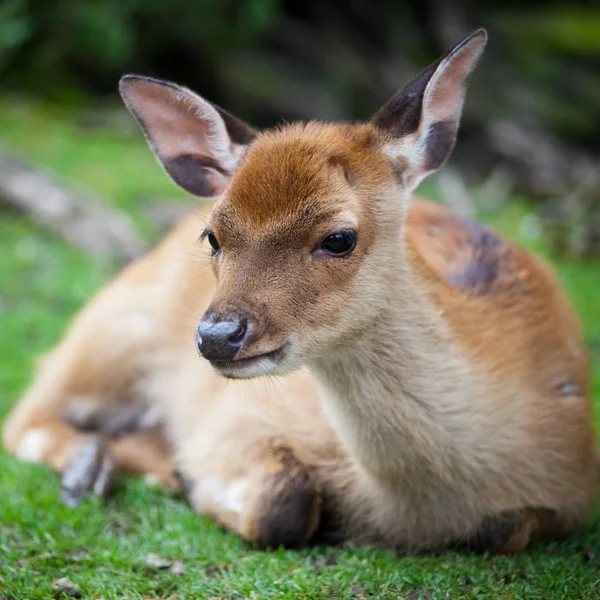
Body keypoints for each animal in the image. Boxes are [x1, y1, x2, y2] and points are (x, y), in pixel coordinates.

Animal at [3, 28, 596, 552]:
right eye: (213, 235)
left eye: (339, 238)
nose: (218, 335)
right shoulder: (237, 419)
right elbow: (281, 505)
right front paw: (186, 476)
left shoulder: (570, 495)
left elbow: (510, 528)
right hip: (110, 330)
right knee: (28, 411)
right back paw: (98, 469)